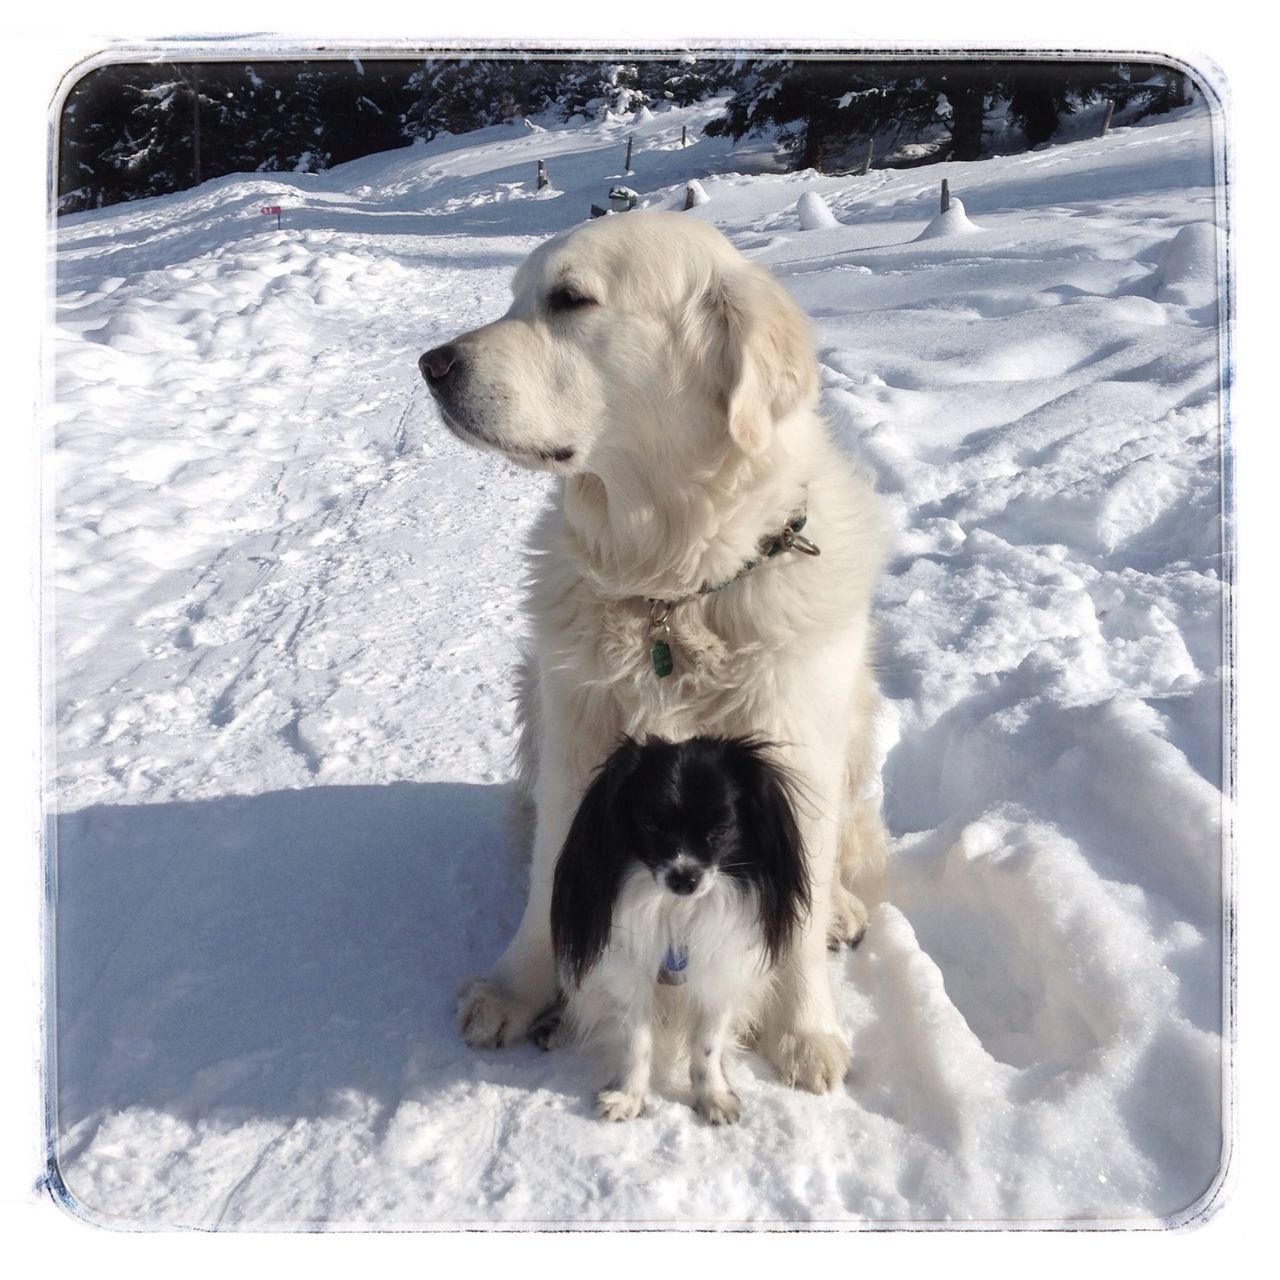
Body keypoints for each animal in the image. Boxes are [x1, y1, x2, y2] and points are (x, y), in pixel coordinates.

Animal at [550, 737, 808, 1126]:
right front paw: (628, 1097)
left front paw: (713, 1097)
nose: (685, 878)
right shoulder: (632, 979)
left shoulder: (716, 980)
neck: (677, 912)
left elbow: (707, 1044)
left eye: (721, 831)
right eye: (652, 826)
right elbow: (636, 1042)